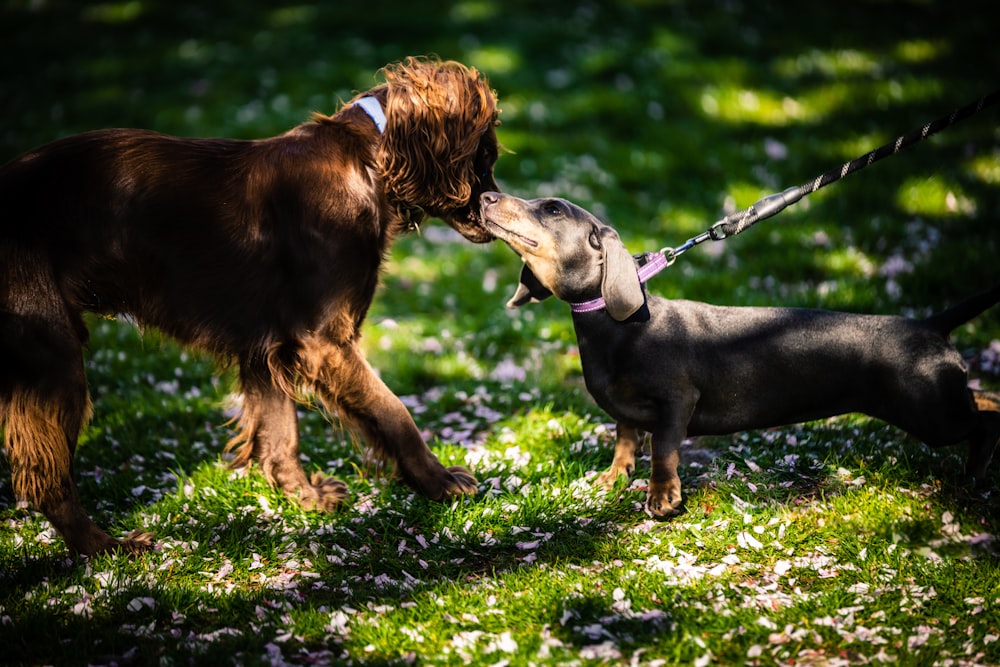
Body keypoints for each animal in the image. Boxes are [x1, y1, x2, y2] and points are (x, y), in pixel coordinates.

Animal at [0, 58, 500, 560]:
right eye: (485, 157)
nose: (493, 207)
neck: (367, 161)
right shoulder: (322, 341)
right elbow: (393, 412)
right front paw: (439, 481)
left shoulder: (267, 342)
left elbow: (281, 435)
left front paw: (306, 497)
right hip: (53, 354)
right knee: (46, 478)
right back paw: (108, 548)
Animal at [480, 193, 996, 516]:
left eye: (551, 209)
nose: (484, 197)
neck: (615, 326)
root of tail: (931, 325)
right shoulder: (625, 411)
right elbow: (626, 437)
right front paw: (614, 477)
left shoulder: (677, 402)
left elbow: (663, 448)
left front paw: (662, 498)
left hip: (932, 414)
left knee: (987, 417)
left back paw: (974, 474)